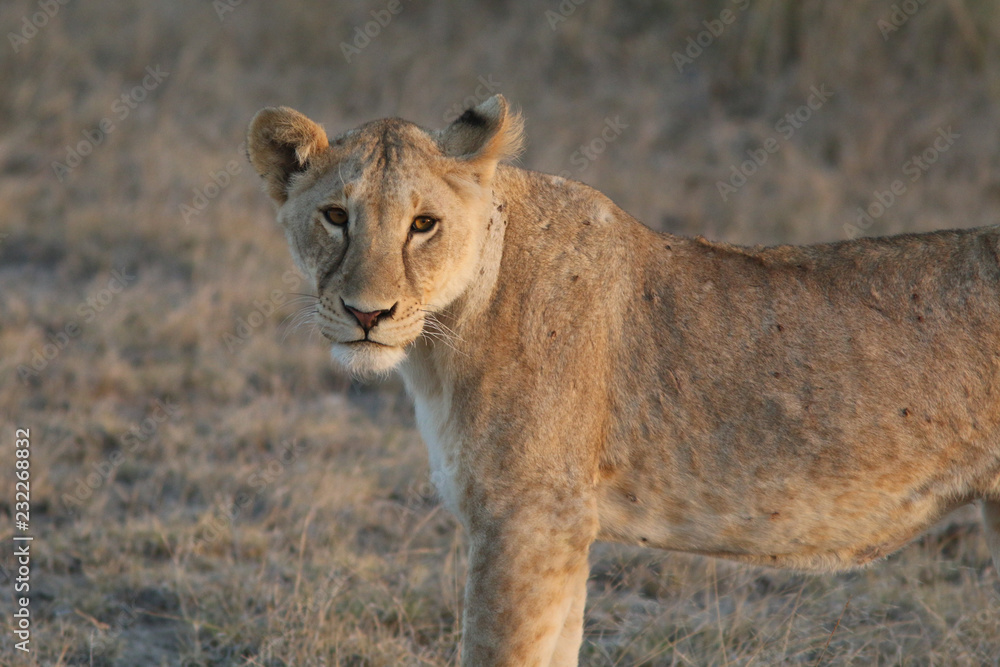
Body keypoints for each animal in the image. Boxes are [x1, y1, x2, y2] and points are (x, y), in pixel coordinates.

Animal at [246, 95, 1000, 666]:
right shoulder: (563, 534)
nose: (367, 313)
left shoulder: (527, 522)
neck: (443, 339)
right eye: (335, 216)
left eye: (423, 224)